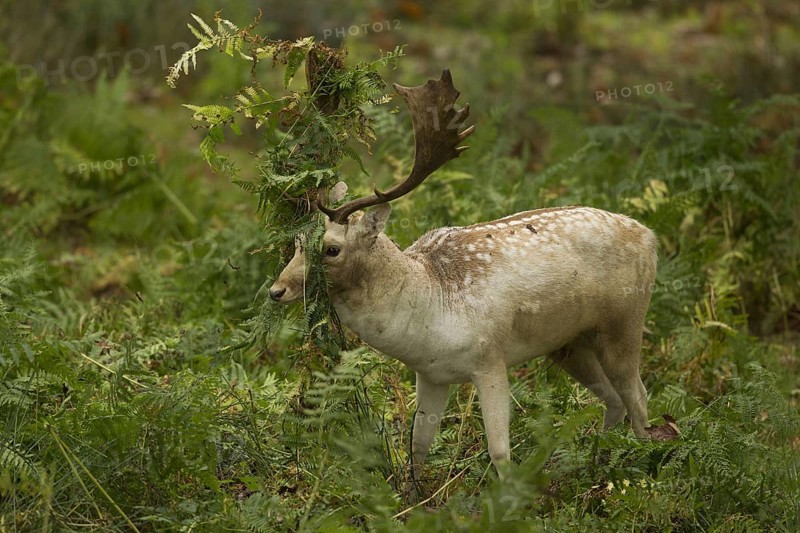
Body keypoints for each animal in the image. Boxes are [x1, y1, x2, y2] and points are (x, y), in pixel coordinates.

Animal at [268, 70, 659, 484]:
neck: (427, 308)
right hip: (570, 342)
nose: (276, 290)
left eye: (331, 249)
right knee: (614, 399)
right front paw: (415, 493)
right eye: (296, 242)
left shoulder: (490, 359)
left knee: (637, 395)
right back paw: (593, 464)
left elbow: (499, 451)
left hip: (624, 319)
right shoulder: (431, 374)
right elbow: (418, 446)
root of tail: (650, 236)